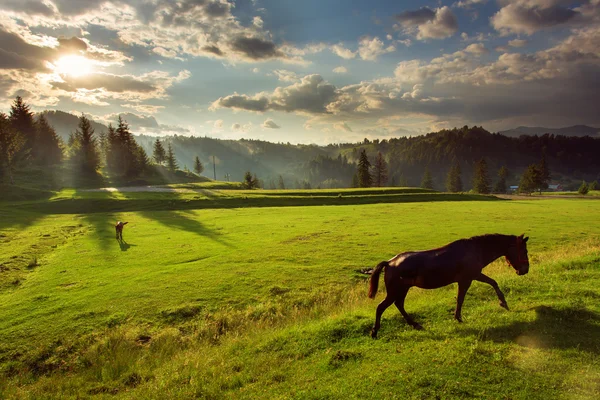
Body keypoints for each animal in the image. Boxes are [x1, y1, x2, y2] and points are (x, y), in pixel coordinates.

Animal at [370, 234, 528, 338]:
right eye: (524, 251)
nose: (525, 270)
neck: (476, 250)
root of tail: (390, 263)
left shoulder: (472, 276)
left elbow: (493, 283)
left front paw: (503, 303)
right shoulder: (468, 279)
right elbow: (461, 299)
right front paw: (458, 317)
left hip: (403, 289)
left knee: (399, 304)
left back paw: (415, 324)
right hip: (395, 290)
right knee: (381, 307)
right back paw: (375, 332)